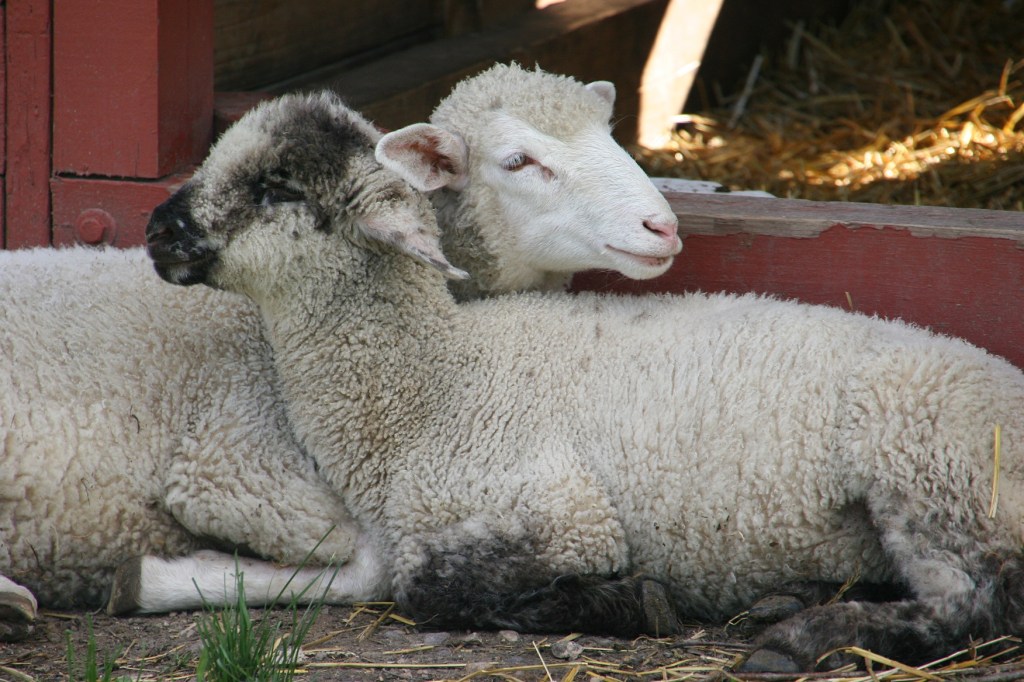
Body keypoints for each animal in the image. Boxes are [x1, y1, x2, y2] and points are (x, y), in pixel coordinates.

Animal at [143, 88, 1024, 673]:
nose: (157, 229)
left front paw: (633, 602)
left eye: (277, 187)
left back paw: (800, 639)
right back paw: (792, 599)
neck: (429, 379)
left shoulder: (563, 514)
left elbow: (430, 588)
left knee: (975, 604)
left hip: (930, 471)